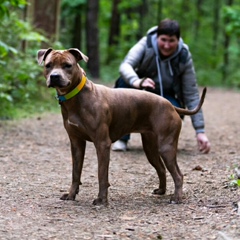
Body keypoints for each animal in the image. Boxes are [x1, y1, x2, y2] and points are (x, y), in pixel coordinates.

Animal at [37, 47, 206, 205]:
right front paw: (71, 194)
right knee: (161, 168)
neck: (76, 98)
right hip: (150, 148)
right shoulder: (76, 143)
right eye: (48, 65)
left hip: (166, 147)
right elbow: (75, 173)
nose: (54, 76)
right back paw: (161, 190)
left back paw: (176, 198)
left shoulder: (102, 144)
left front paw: (101, 199)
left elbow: (101, 174)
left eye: (68, 65)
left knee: (178, 174)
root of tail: (171, 105)